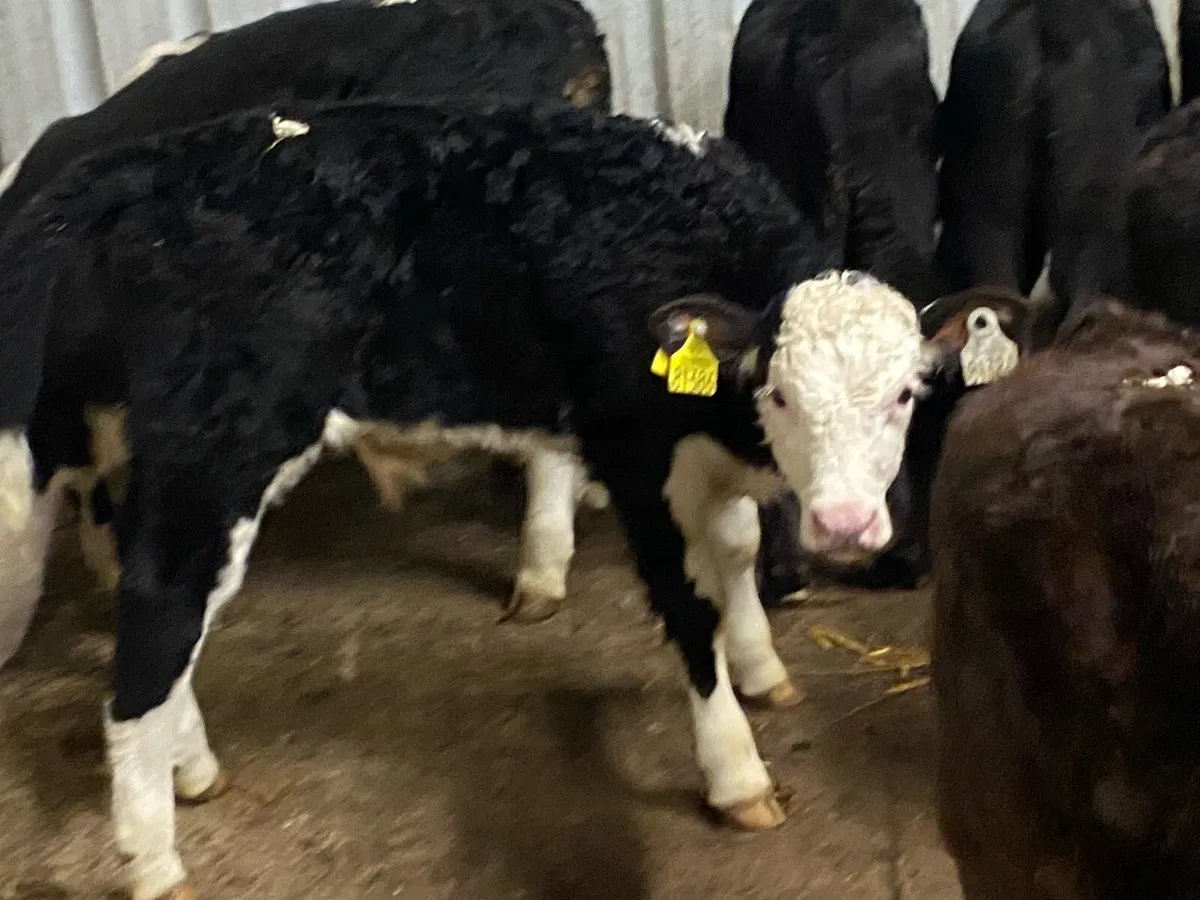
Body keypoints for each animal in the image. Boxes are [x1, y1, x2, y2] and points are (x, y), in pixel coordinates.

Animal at [0, 98, 1001, 900]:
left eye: (905, 393)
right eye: (783, 393)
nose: (846, 525)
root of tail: (145, 167)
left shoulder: (702, 459)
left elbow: (738, 556)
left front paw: (762, 668)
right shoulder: (633, 459)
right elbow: (691, 611)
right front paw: (735, 771)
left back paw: (192, 767)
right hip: (217, 452)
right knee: (157, 616)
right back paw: (154, 860)